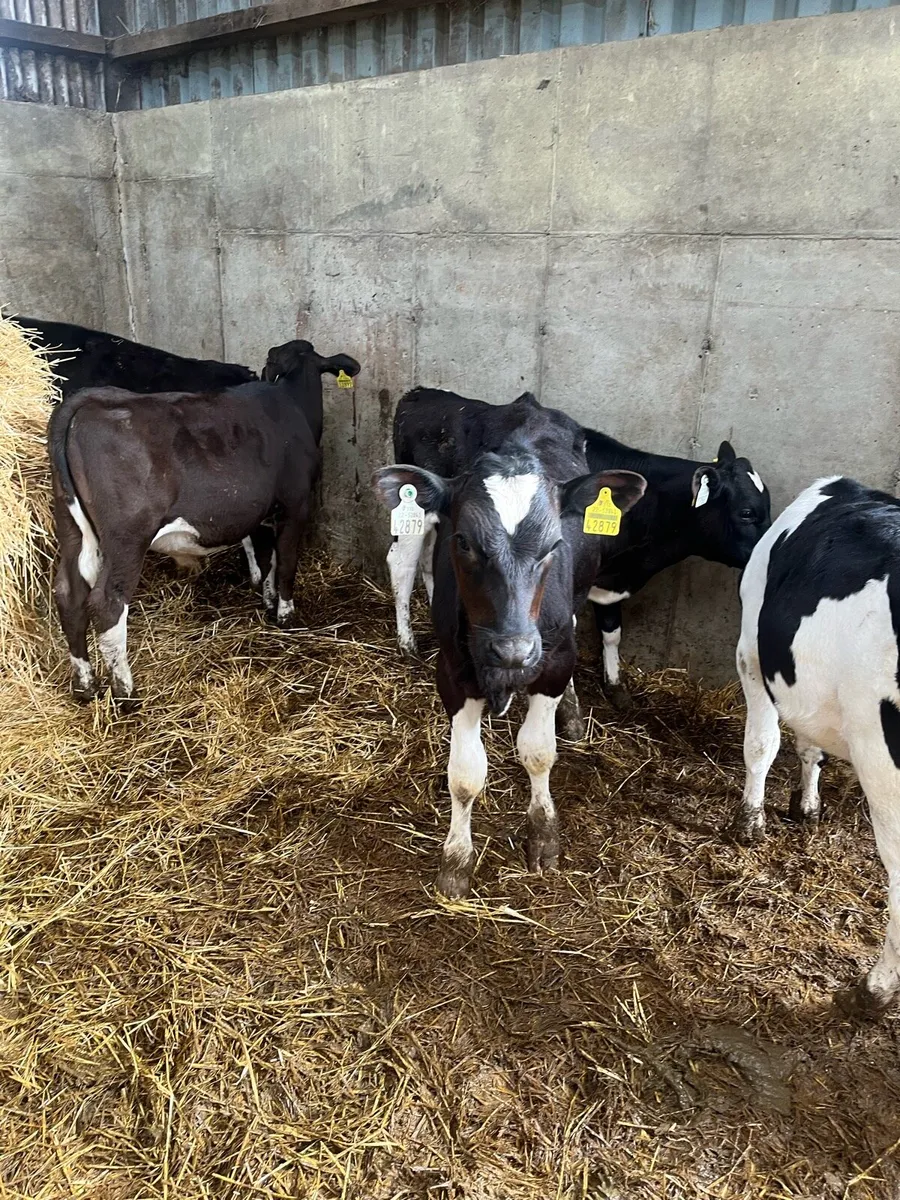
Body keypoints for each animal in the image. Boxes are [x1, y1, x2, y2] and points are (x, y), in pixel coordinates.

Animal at [48, 340, 360, 706]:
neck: (291, 402)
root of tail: (93, 398)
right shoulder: (296, 504)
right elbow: (286, 562)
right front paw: (285, 615)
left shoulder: (258, 512)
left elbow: (265, 557)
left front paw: (268, 600)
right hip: (127, 534)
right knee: (108, 602)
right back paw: (125, 692)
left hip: (71, 525)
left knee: (69, 593)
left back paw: (85, 685)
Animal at [374, 401, 646, 898]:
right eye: (463, 541)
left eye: (554, 544)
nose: (514, 650)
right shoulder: (454, 673)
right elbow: (465, 774)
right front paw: (455, 863)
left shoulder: (553, 661)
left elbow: (538, 752)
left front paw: (544, 836)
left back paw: (571, 713)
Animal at [731, 476, 900, 1016]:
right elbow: (806, 746)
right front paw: (805, 805)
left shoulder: (750, 651)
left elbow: (762, 743)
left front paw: (749, 822)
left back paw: (874, 989)